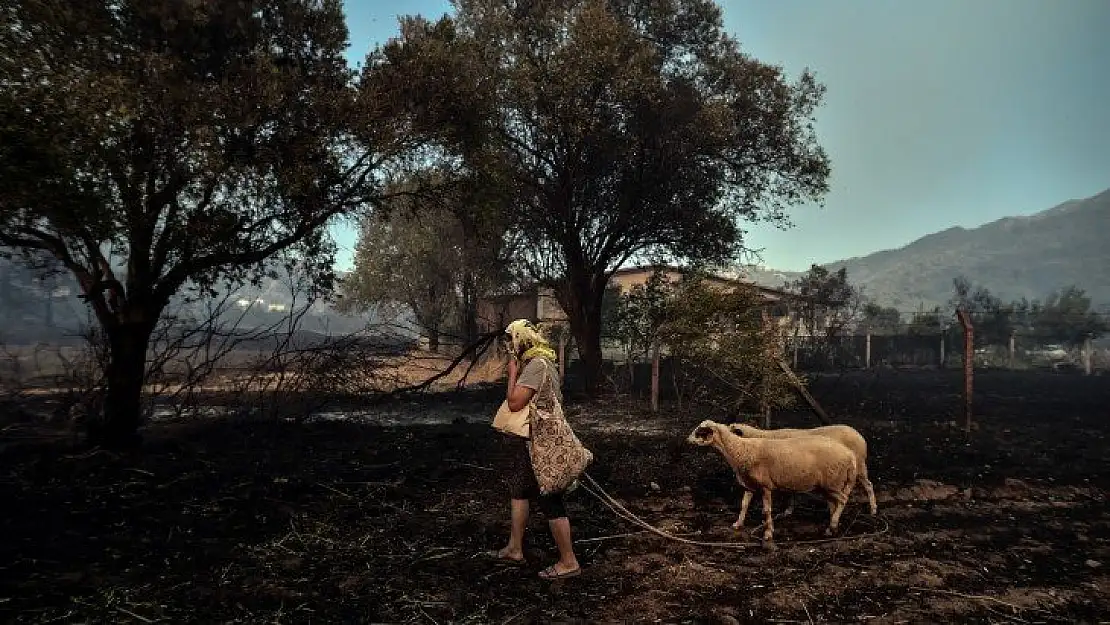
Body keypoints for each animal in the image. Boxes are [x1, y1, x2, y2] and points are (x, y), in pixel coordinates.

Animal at [683, 419, 856, 543]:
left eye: (699, 432)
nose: (687, 439)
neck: (740, 450)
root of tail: (850, 455)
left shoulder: (766, 487)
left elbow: (767, 511)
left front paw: (768, 533)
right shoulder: (749, 486)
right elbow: (744, 505)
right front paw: (738, 524)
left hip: (832, 483)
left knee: (843, 500)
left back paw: (833, 525)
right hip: (830, 485)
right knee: (834, 503)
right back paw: (831, 526)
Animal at [728, 424, 874, 521]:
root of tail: (860, 436)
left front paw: (787, 511)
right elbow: (790, 492)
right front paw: (788, 511)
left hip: (858, 466)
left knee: (867, 485)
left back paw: (872, 509)